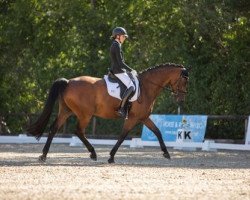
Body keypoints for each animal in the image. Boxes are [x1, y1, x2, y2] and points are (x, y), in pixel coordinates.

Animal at [26, 62, 188, 162]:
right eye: (184, 81)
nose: (181, 99)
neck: (146, 87)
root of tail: (68, 82)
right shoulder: (132, 118)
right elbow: (123, 136)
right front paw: (111, 157)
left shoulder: (144, 117)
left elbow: (158, 132)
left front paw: (166, 153)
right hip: (85, 114)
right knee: (78, 131)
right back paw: (93, 153)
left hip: (66, 111)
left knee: (54, 129)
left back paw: (43, 155)